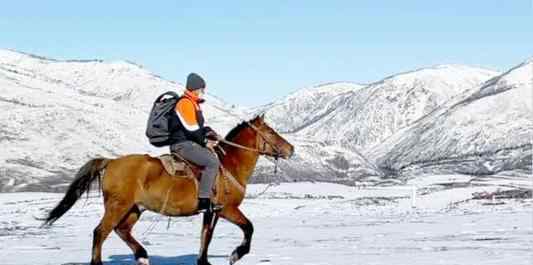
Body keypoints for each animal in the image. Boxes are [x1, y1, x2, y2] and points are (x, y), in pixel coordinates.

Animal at [43, 114, 294, 264]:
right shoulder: (226, 209)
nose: (291, 149)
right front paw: (235, 254)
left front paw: (204, 261)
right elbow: (249, 228)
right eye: (271, 132)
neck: (230, 164)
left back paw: (143, 256)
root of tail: (111, 161)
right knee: (100, 232)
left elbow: (206, 237)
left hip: (134, 208)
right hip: (117, 206)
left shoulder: (210, 212)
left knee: (122, 230)